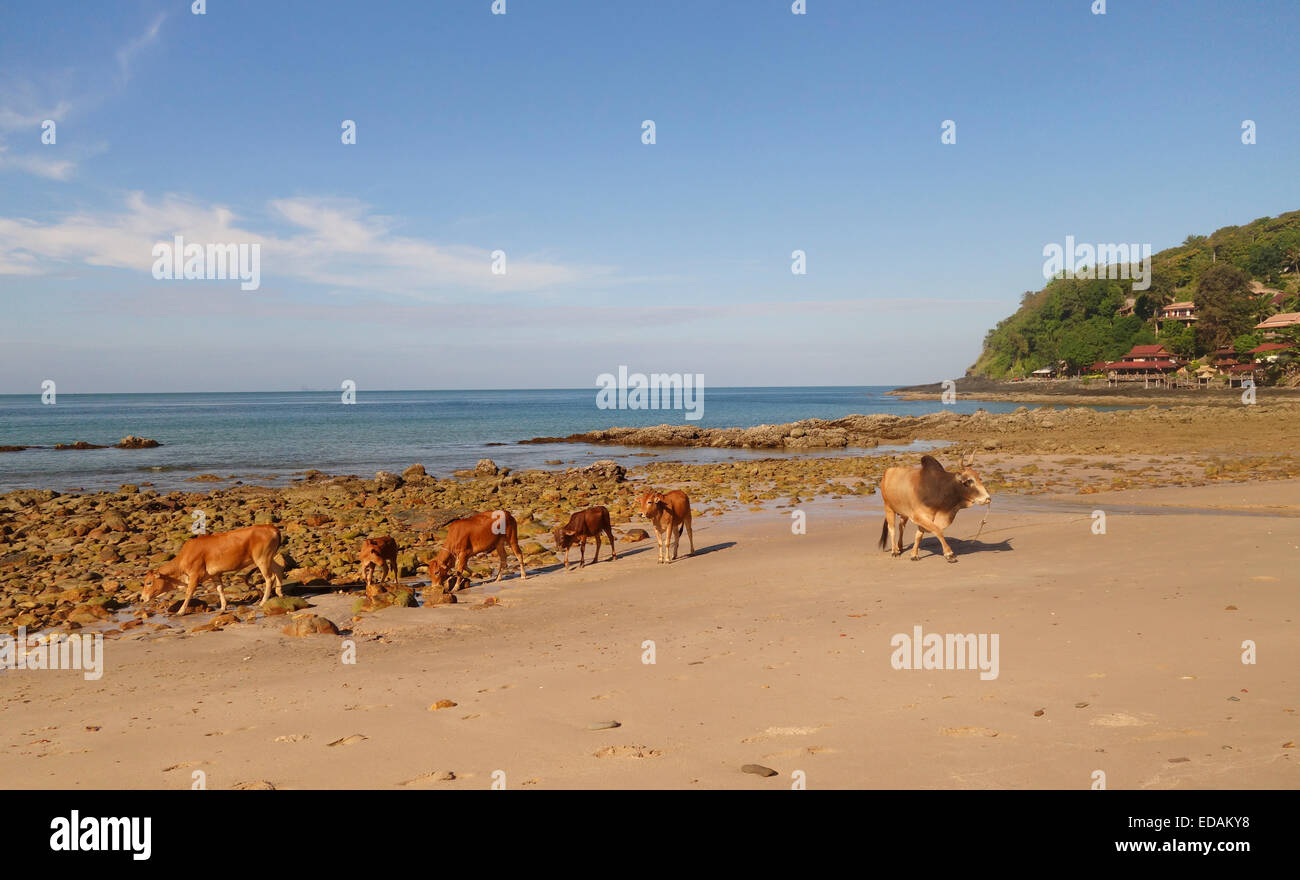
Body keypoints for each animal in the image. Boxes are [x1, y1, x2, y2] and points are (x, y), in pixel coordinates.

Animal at [141, 525, 286, 613]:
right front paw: (223, 606)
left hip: (262, 559)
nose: (142, 599)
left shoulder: (195, 575)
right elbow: (220, 589)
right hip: (269, 558)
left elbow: (188, 593)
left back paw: (263, 601)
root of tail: (272, 528)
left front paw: (181, 611)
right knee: (279, 569)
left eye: (149, 582)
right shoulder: (215, 574)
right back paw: (280, 593)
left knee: (269, 578)